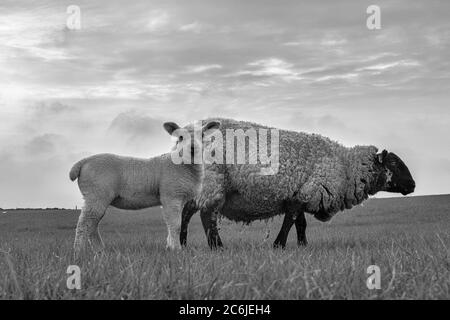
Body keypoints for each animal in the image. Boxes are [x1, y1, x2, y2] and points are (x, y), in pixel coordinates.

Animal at [178, 119, 414, 249]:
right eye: (394, 163)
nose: (412, 185)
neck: (345, 166)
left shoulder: (302, 193)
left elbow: (300, 224)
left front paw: (303, 246)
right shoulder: (305, 194)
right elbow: (289, 221)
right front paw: (278, 245)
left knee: (188, 212)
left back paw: (183, 243)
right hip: (213, 182)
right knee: (207, 216)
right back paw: (217, 247)